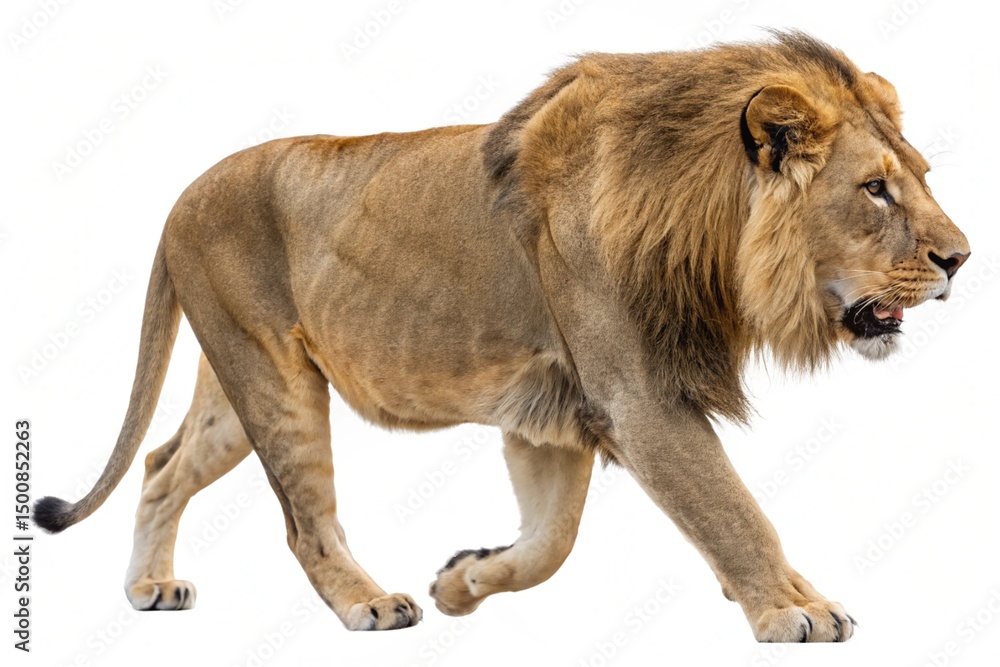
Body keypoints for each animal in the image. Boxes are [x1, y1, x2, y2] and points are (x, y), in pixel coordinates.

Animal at [34, 31, 969, 642]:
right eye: (876, 189)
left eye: (921, 176)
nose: (960, 258)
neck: (707, 233)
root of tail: (180, 195)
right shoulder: (640, 400)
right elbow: (733, 510)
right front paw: (794, 608)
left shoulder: (552, 412)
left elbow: (553, 540)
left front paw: (466, 578)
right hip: (274, 380)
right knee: (305, 522)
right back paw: (368, 604)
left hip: (239, 383)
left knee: (162, 465)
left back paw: (149, 586)